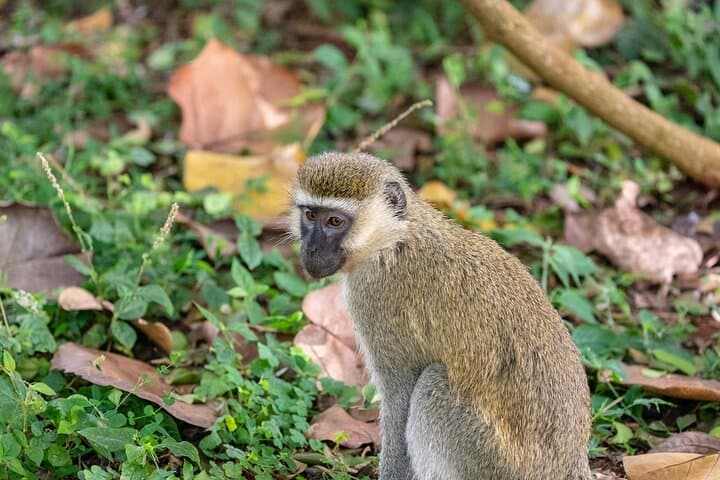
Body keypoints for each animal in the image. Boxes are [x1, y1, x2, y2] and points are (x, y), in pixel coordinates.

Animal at [289, 152, 593, 480]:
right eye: (310, 215)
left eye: (335, 221)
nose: (311, 249)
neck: (395, 239)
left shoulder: (376, 301)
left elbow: (400, 398)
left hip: (489, 459)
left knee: (431, 384)